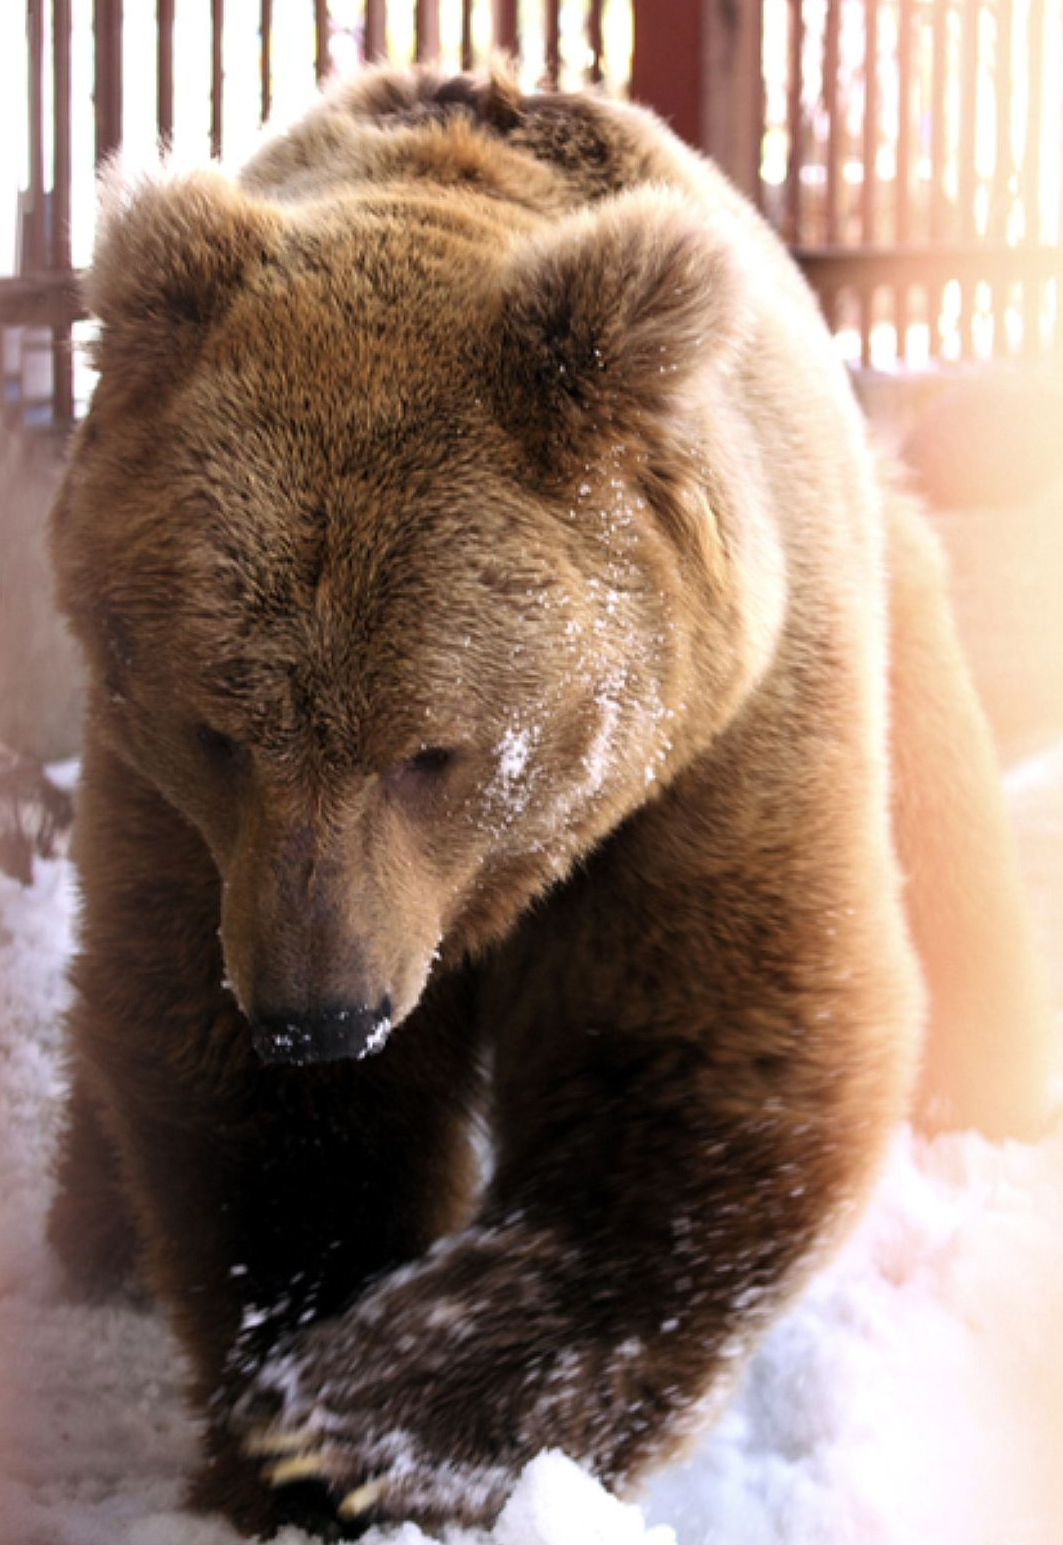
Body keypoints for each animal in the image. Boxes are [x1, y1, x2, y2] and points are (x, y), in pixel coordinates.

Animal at [45, 66, 1050, 1538]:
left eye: (433, 750)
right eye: (219, 729)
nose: (319, 1015)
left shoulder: (704, 755)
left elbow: (706, 1052)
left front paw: (361, 1421)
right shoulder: (184, 825)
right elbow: (226, 1082)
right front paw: (286, 1402)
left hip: (892, 642)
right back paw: (95, 1248)